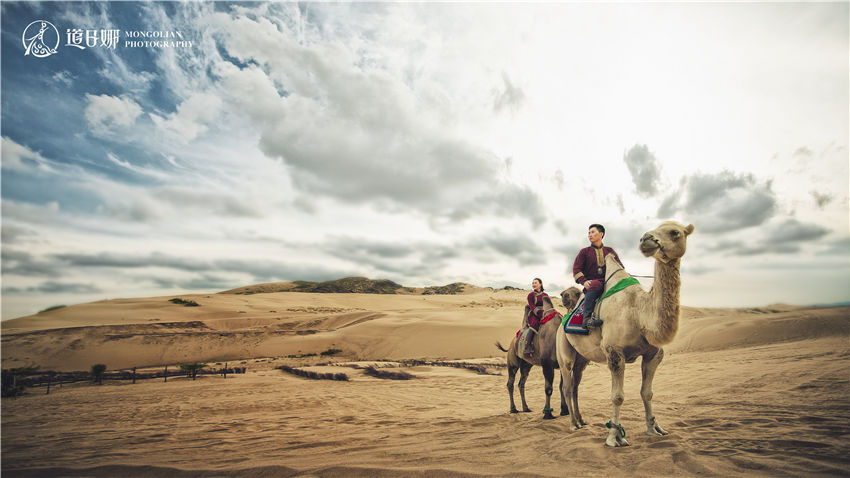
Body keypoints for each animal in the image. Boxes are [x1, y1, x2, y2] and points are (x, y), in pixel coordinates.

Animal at [494, 288, 580, 418]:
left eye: (578, 292)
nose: (565, 295)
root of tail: (512, 343)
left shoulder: (562, 365)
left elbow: (562, 386)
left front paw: (564, 410)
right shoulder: (546, 363)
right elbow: (548, 388)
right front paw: (547, 413)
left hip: (526, 364)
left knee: (521, 383)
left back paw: (526, 408)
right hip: (513, 361)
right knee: (510, 383)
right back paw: (513, 409)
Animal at [552, 222, 692, 446]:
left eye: (675, 232)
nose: (646, 239)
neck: (639, 313)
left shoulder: (654, 354)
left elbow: (647, 393)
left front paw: (654, 428)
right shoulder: (614, 351)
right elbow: (617, 396)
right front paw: (614, 436)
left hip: (582, 358)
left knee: (574, 386)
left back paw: (581, 421)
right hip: (563, 349)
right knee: (566, 384)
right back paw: (573, 424)